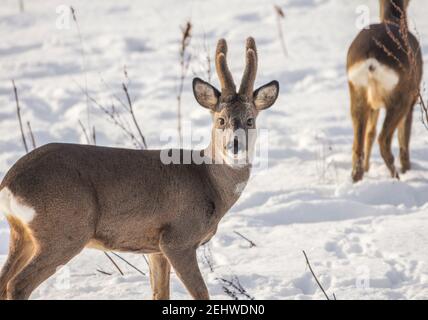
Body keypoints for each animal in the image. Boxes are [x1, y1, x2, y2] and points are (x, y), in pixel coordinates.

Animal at [0, 37, 280, 300]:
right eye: (221, 120)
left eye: (250, 120)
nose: (235, 145)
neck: (209, 183)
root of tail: (9, 184)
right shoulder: (177, 238)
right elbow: (201, 293)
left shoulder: (155, 248)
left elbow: (160, 293)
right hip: (65, 230)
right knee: (18, 284)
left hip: (22, 233)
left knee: (4, 281)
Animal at [346, 0, 422, 182]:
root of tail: (371, 58)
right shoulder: (412, 99)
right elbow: (404, 139)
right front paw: (407, 170)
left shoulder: (374, 105)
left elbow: (370, 134)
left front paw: (368, 169)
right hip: (400, 96)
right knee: (384, 140)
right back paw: (396, 177)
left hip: (357, 91)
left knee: (358, 145)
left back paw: (357, 178)